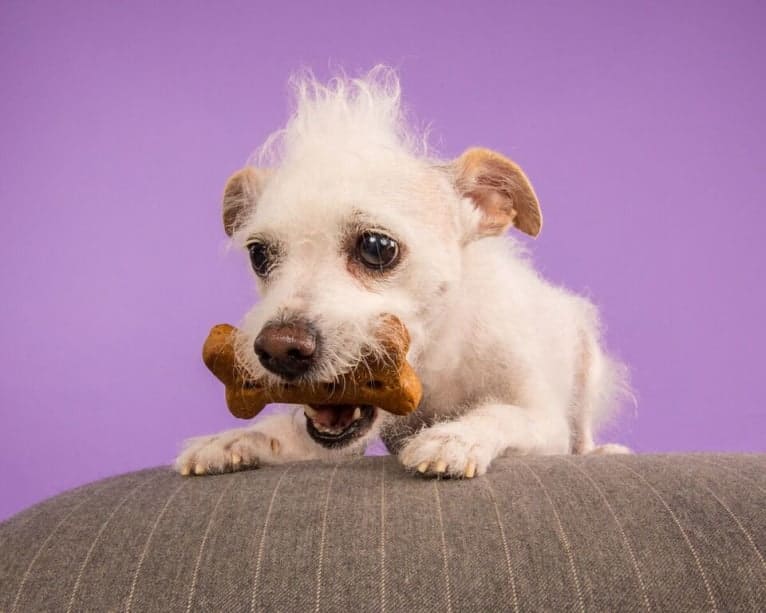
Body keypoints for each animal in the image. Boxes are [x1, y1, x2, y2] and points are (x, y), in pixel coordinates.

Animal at [177, 67, 632, 478]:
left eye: (377, 247)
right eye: (259, 255)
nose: (278, 349)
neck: (435, 366)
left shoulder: (543, 420)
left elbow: (502, 414)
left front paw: (455, 438)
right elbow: (283, 430)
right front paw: (233, 439)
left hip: (588, 359)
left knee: (582, 429)